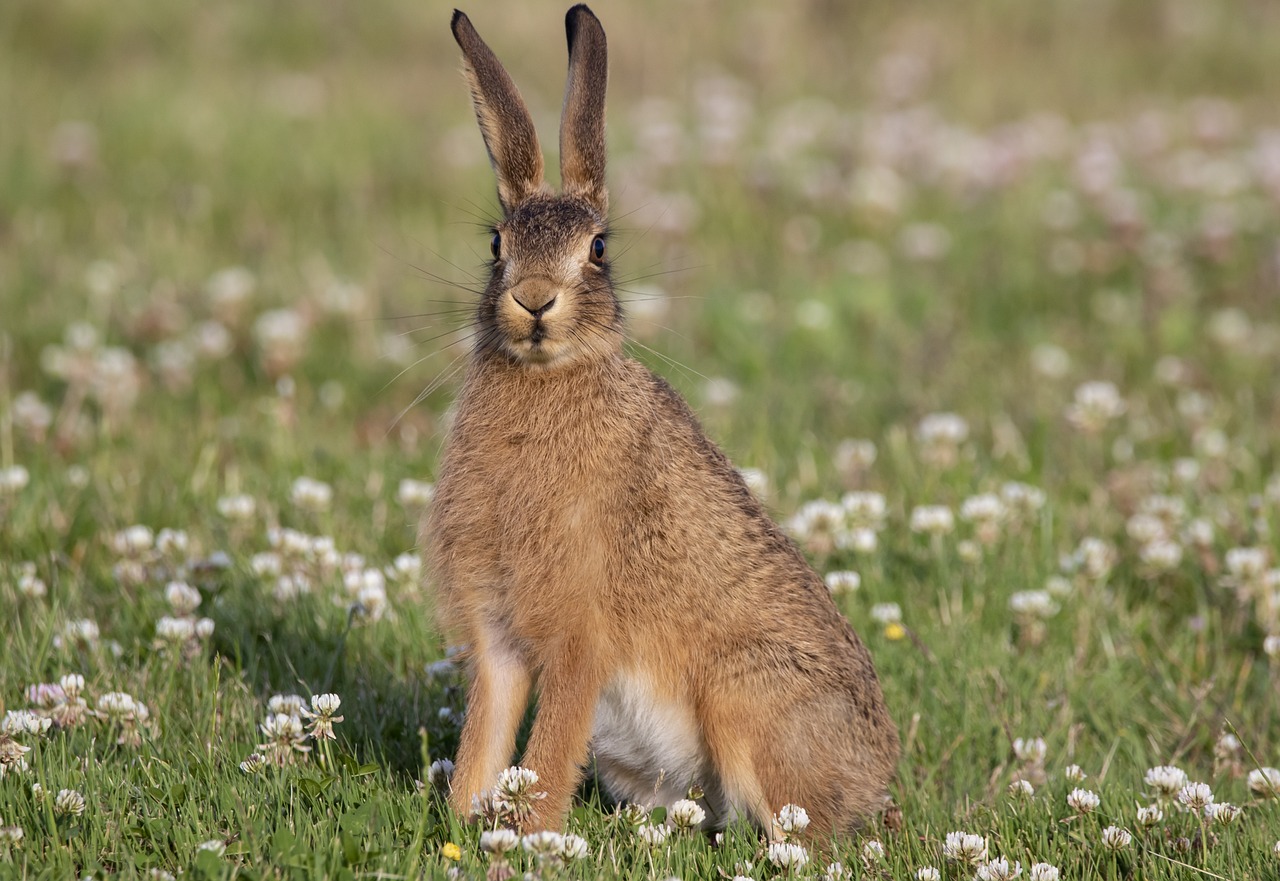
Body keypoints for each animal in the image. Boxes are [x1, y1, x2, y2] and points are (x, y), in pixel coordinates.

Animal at [425, 3, 900, 839]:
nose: (535, 300)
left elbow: (549, 748)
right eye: (495, 245)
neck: (550, 381)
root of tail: (873, 780)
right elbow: (487, 731)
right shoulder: (500, 636)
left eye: (598, 249)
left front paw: (528, 836)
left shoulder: (579, 635)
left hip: (749, 695)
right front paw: (465, 819)